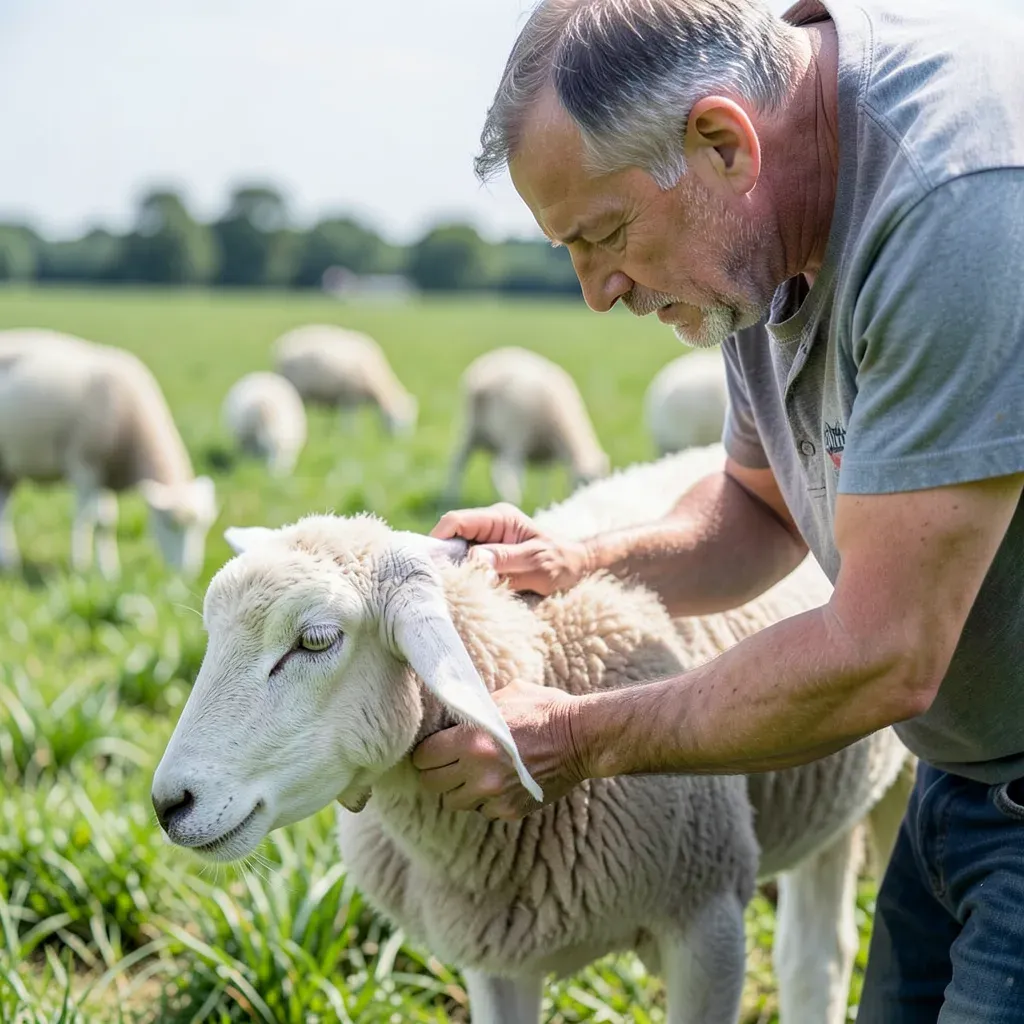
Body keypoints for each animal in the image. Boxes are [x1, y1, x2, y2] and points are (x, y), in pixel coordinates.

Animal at [0, 328, 217, 579]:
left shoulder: (107, 474)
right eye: (168, 524)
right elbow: (84, 517)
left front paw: (109, 571)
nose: (188, 574)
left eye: (204, 527)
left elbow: (106, 523)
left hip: (8, 468)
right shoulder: (84, 465)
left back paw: (9, 561)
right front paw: (80, 565)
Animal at [273, 324, 418, 436]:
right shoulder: (350, 395)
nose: (400, 442)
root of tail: (281, 344)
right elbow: (348, 419)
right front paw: (349, 436)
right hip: (297, 387)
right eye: (394, 418)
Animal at [444, 346, 610, 508]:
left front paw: (544, 503)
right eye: (583, 482)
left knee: (475, 465)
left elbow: (545, 479)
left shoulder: (547, 451)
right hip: (512, 433)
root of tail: (484, 382)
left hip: (476, 429)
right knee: (490, 468)